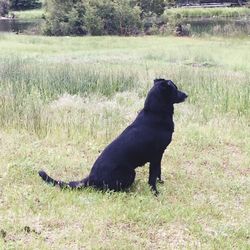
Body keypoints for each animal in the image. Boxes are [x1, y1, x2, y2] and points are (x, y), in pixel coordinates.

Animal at [38, 79, 188, 194]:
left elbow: (158, 172)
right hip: (130, 173)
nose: (186, 95)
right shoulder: (156, 155)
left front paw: (161, 182)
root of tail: (91, 178)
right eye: (175, 88)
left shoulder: (160, 155)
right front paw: (155, 192)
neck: (155, 112)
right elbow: (153, 176)